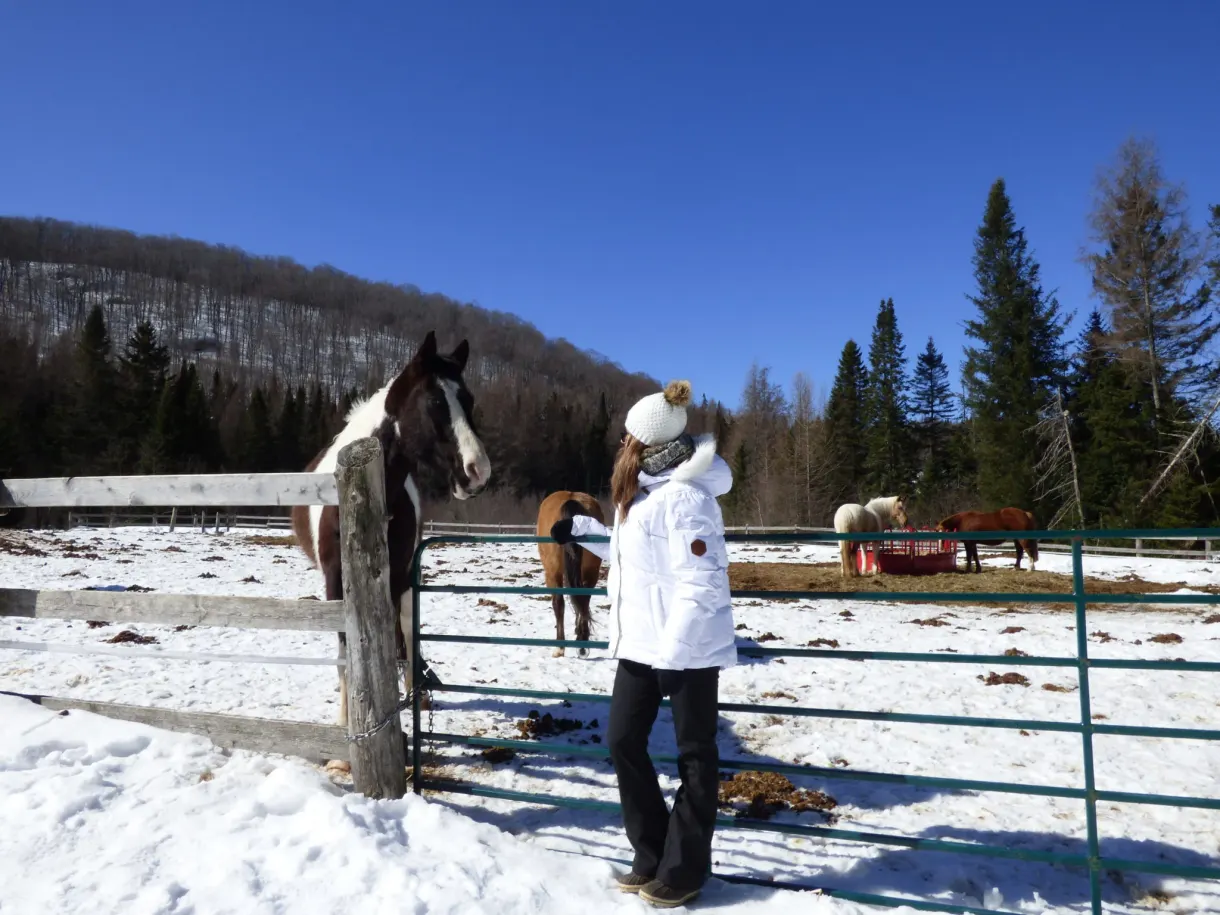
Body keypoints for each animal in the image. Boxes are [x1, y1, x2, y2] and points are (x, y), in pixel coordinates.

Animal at [291, 330, 491, 729]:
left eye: (468, 400)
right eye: (434, 401)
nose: (478, 471)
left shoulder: (399, 576)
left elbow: (398, 641)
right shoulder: (336, 582)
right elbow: (346, 652)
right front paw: (347, 720)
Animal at [536, 491, 604, 659]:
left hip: (553, 572)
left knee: (559, 604)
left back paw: (560, 646)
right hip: (591, 571)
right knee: (584, 601)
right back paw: (582, 644)